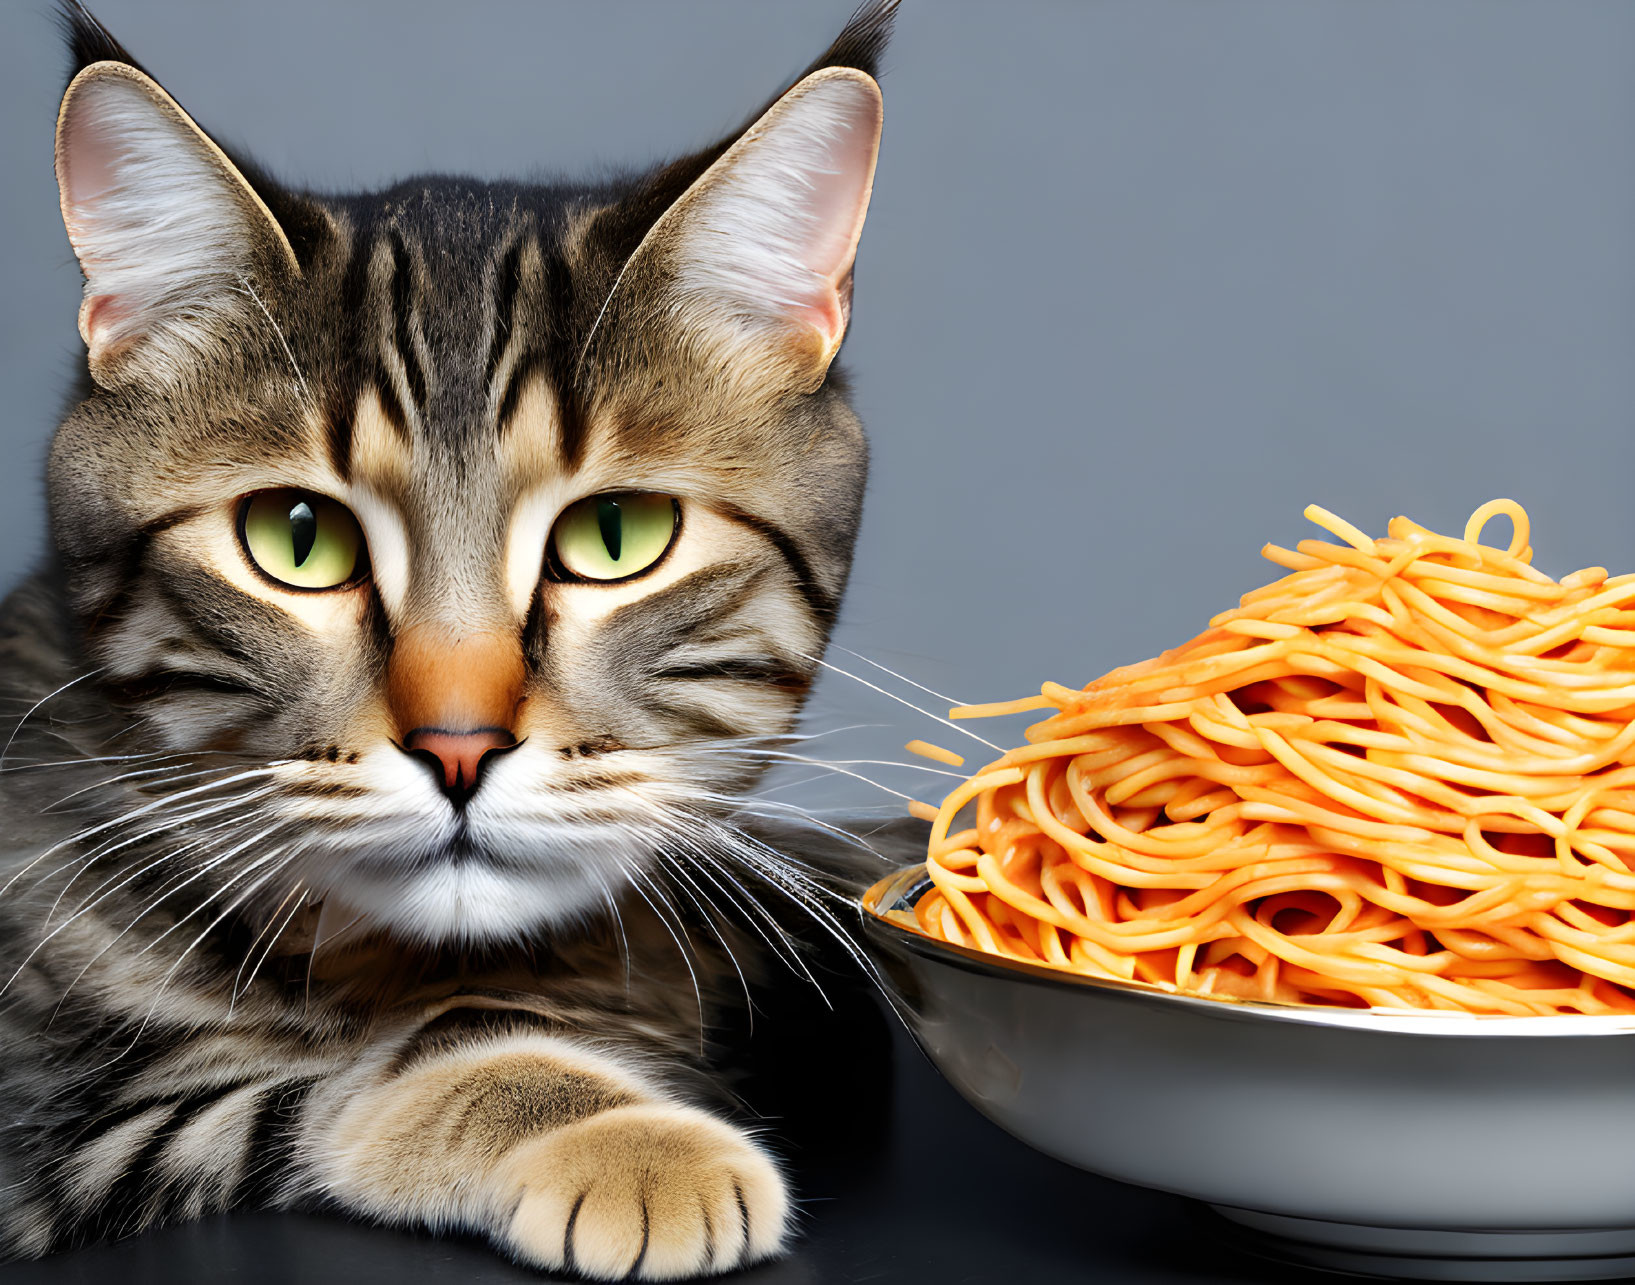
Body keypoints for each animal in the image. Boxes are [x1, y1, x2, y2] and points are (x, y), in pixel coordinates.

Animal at [0, 0, 895, 1268]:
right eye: (296, 537)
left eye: (619, 534)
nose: (459, 746)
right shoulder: (62, 1125)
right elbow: (387, 1060)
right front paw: (619, 1133)